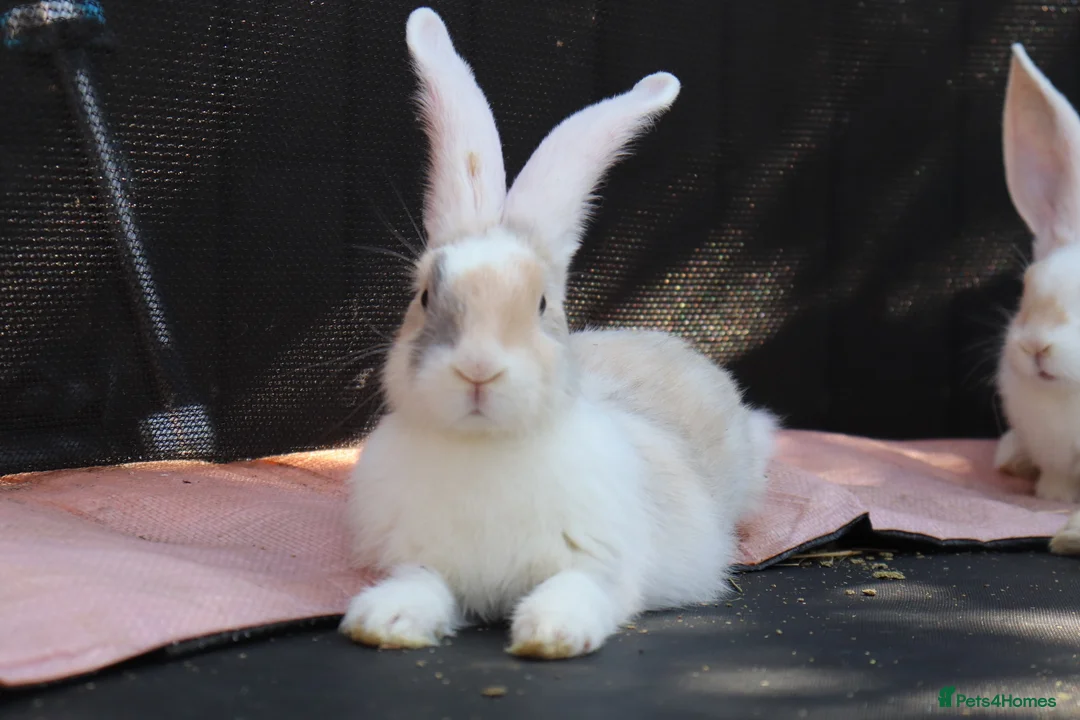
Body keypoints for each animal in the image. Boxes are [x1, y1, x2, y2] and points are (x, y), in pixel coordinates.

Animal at [337, 7, 778, 660]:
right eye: (424, 296)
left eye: (543, 302)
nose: (477, 369)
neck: (486, 449)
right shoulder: (423, 559)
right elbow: (421, 584)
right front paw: (386, 622)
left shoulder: (600, 564)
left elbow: (576, 589)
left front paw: (550, 634)